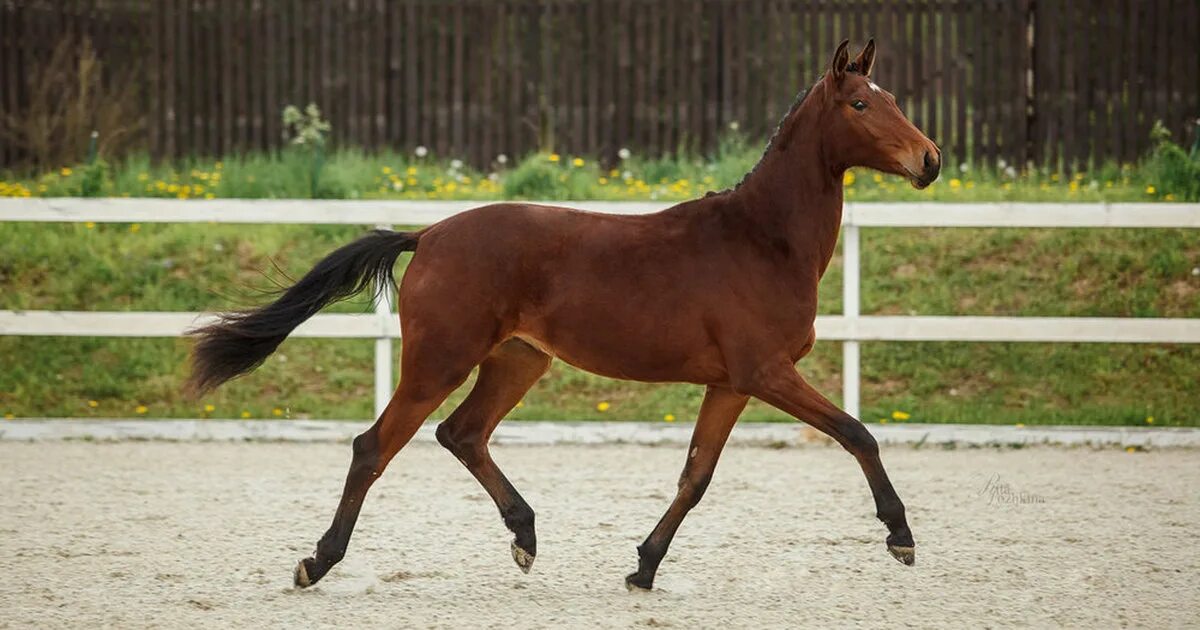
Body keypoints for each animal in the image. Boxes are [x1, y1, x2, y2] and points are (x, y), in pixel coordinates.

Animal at [187, 39, 936, 590]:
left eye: (896, 100)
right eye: (862, 103)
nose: (929, 160)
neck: (761, 239)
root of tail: (427, 235)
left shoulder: (730, 383)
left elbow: (695, 477)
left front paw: (643, 568)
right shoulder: (767, 372)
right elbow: (857, 434)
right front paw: (900, 537)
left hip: (518, 360)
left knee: (461, 433)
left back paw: (524, 535)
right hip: (440, 360)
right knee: (376, 446)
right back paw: (318, 562)